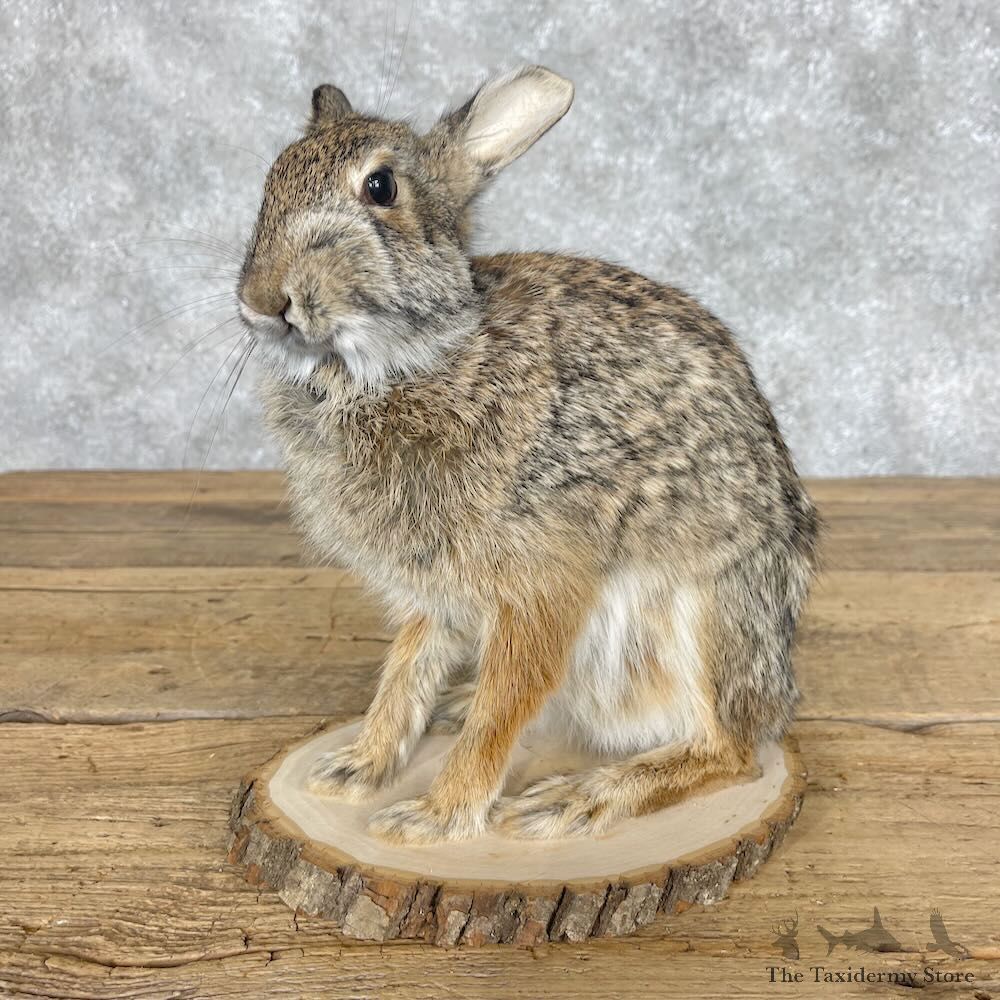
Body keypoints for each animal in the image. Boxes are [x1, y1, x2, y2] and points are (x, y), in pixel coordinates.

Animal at [236, 65, 820, 844]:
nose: (261, 299)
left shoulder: (544, 579)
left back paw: (580, 798)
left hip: (705, 617)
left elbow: (505, 705)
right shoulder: (439, 590)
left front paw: (433, 818)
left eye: (381, 188)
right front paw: (356, 766)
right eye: (274, 176)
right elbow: (405, 668)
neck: (404, 364)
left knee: (730, 750)